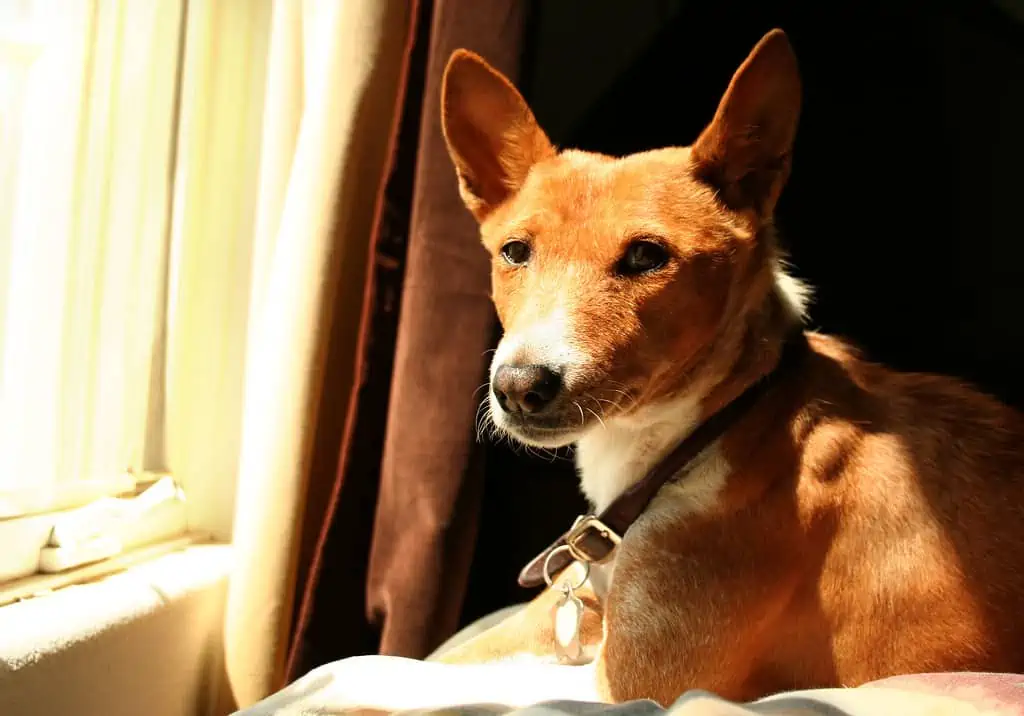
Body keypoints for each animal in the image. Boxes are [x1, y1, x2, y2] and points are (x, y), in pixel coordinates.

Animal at [260, 26, 1024, 712]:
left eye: (647, 256)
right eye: (514, 252)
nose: (519, 388)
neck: (713, 428)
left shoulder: (635, 684)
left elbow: (372, 670)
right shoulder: (556, 619)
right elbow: (413, 659)